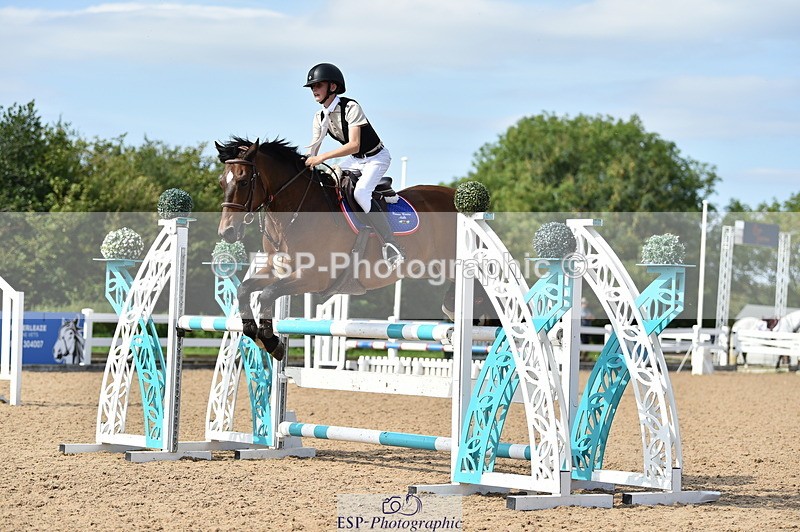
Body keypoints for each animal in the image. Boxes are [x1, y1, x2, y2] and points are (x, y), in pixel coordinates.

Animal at [215, 137, 469, 360]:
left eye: (244, 181)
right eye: (221, 182)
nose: (227, 232)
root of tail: (454, 195)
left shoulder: (312, 277)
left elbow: (267, 294)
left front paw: (270, 341)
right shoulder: (277, 270)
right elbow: (245, 290)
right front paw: (257, 334)